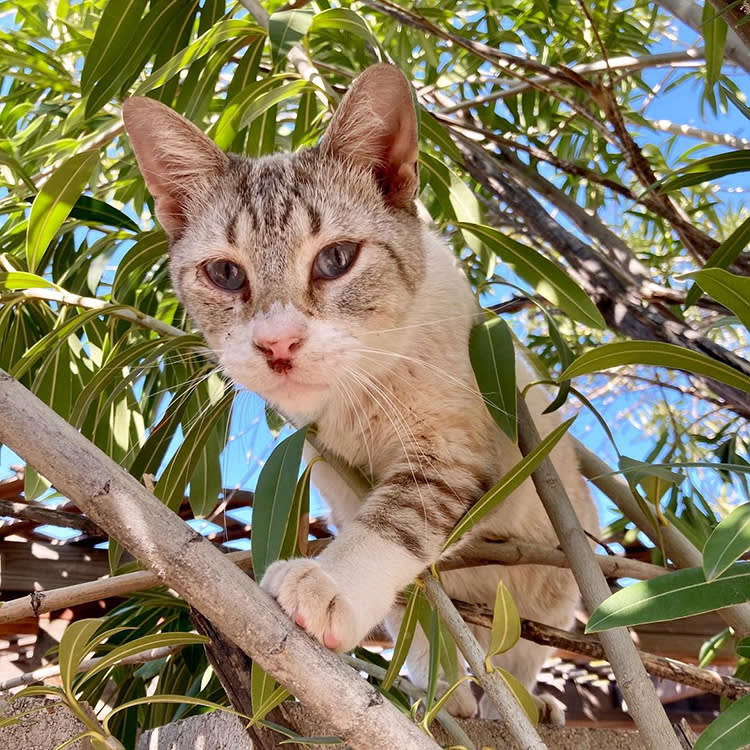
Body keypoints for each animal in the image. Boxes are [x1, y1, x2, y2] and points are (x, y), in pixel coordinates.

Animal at [126, 63, 604, 724]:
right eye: (223, 273)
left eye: (336, 259)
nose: (277, 343)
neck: (357, 396)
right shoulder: (328, 466)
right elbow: (406, 592)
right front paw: (432, 681)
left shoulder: (458, 450)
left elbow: (394, 523)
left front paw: (330, 586)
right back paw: (445, 694)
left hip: (549, 581)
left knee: (519, 654)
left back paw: (523, 705)